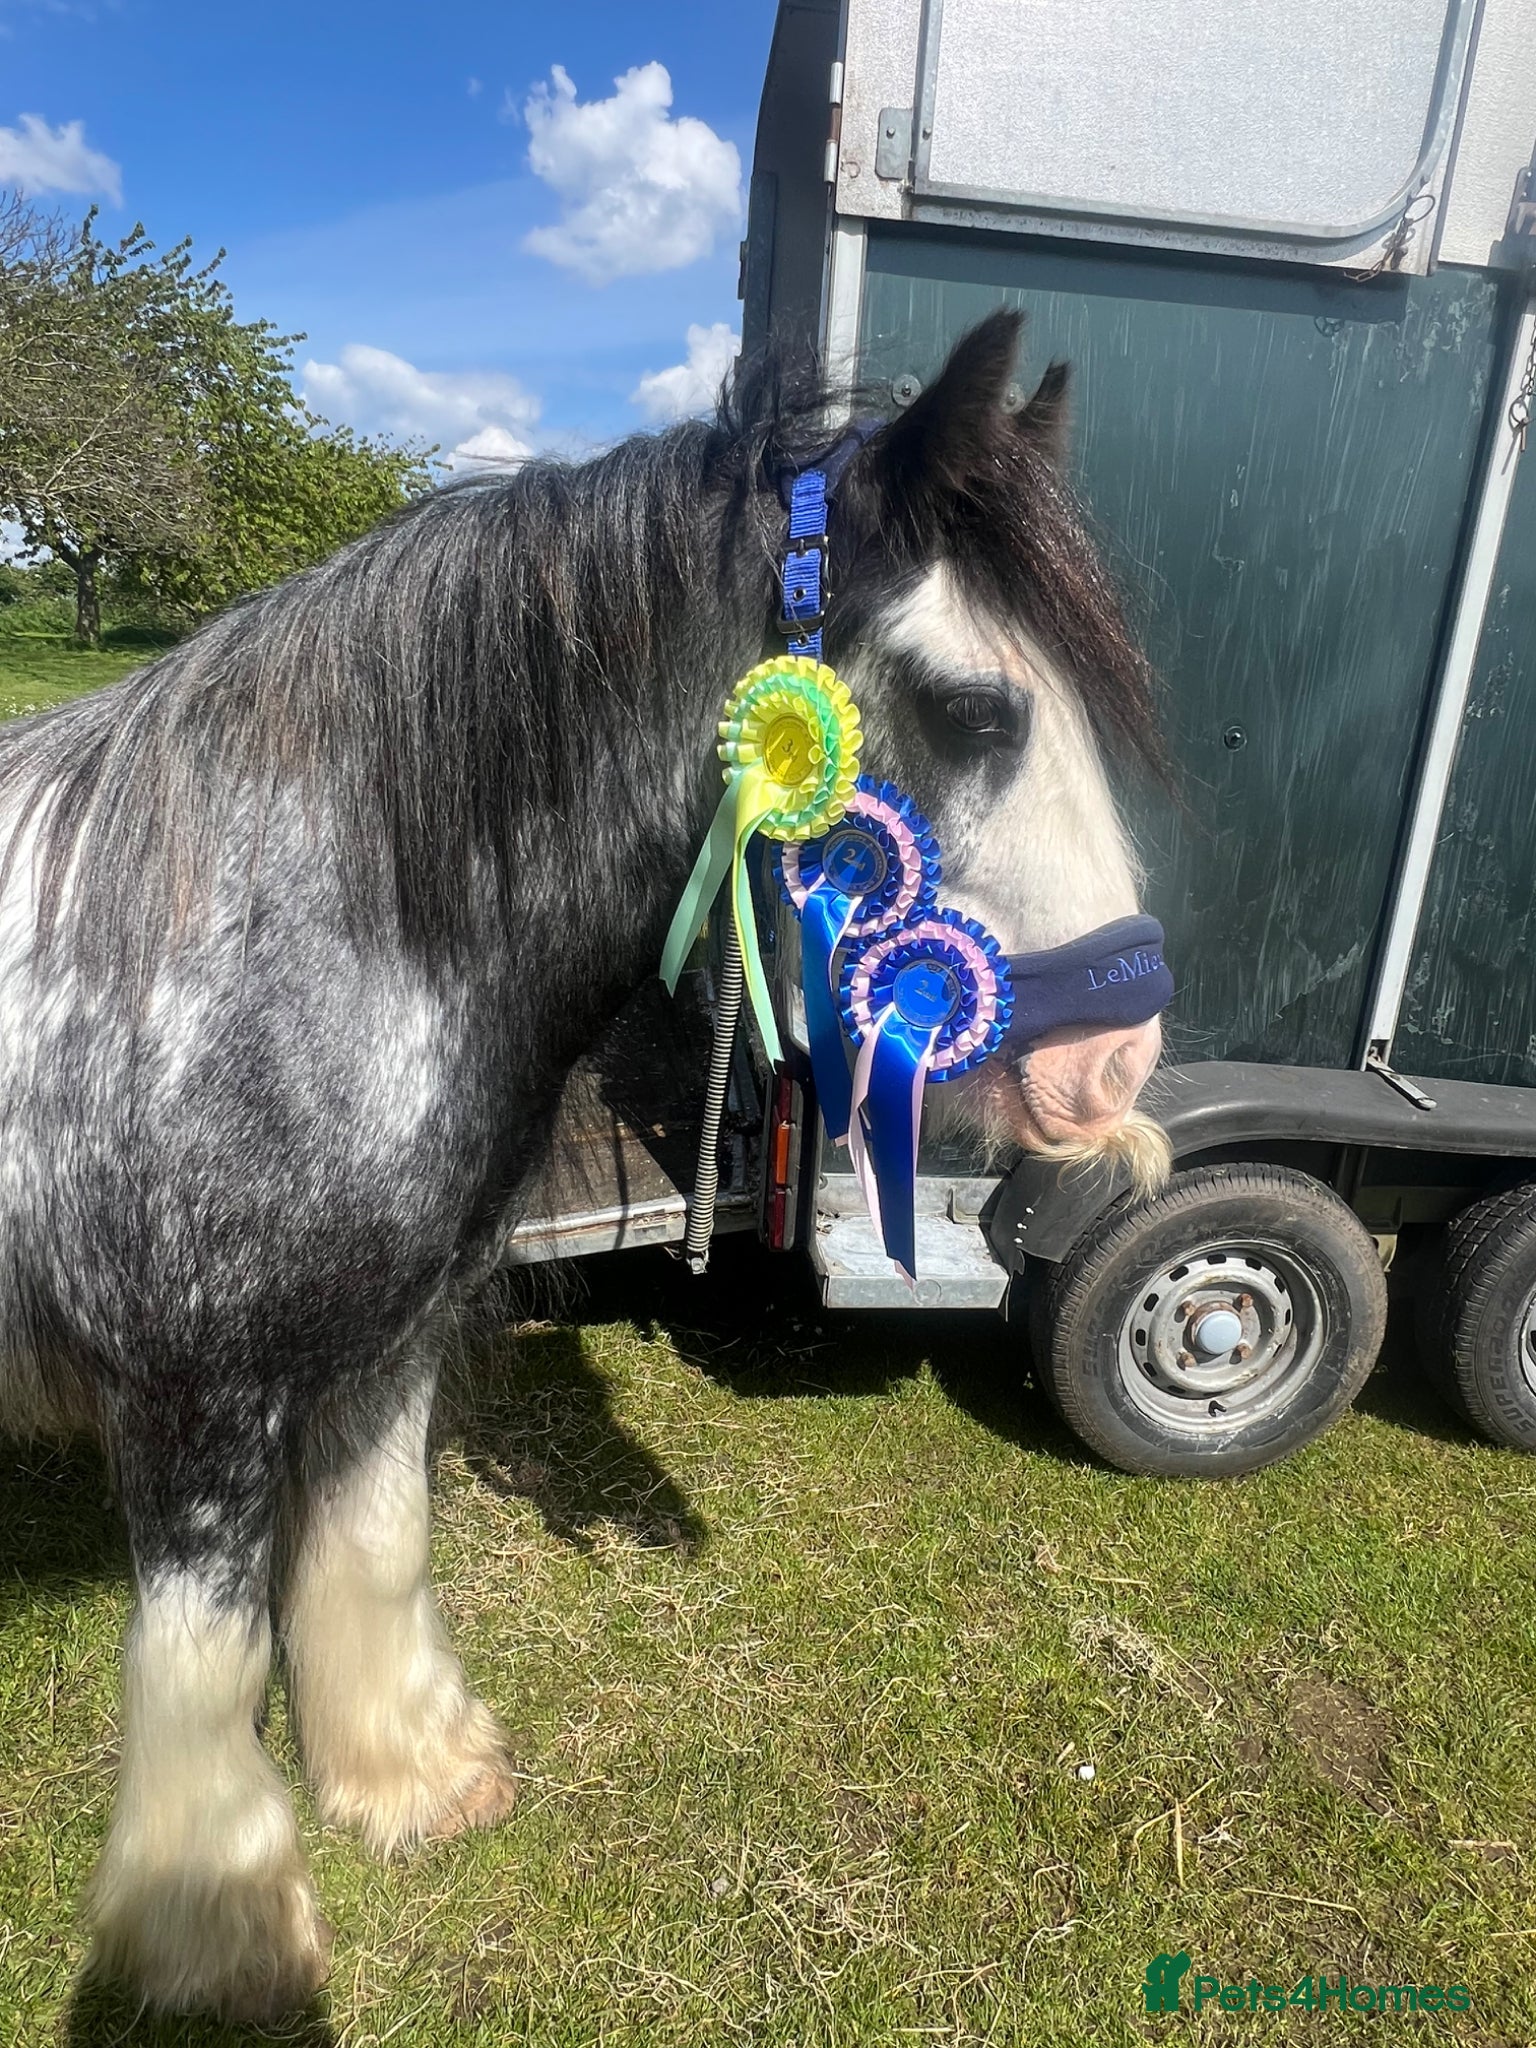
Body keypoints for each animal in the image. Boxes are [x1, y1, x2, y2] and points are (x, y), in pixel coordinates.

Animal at [0, 310, 1167, 2019]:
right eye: (978, 710)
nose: (1119, 1064)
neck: (290, 928)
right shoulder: (191, 1399)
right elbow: (203, 1665)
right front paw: (219, 1943)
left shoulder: (387, 1339)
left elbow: (372, 1546)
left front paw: (412, 1778)